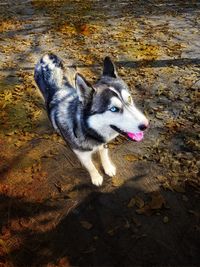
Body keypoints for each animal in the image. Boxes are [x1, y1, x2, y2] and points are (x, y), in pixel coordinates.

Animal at [34, 54, 148, 186]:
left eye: (129, 99)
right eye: (113, 109)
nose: (146, 125)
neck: (87, 130)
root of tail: (46, 56)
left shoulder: (103, 144)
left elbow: (104, 156)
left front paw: (108, 168)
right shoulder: (82, 154)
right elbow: (90, 166)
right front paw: (96, 177)